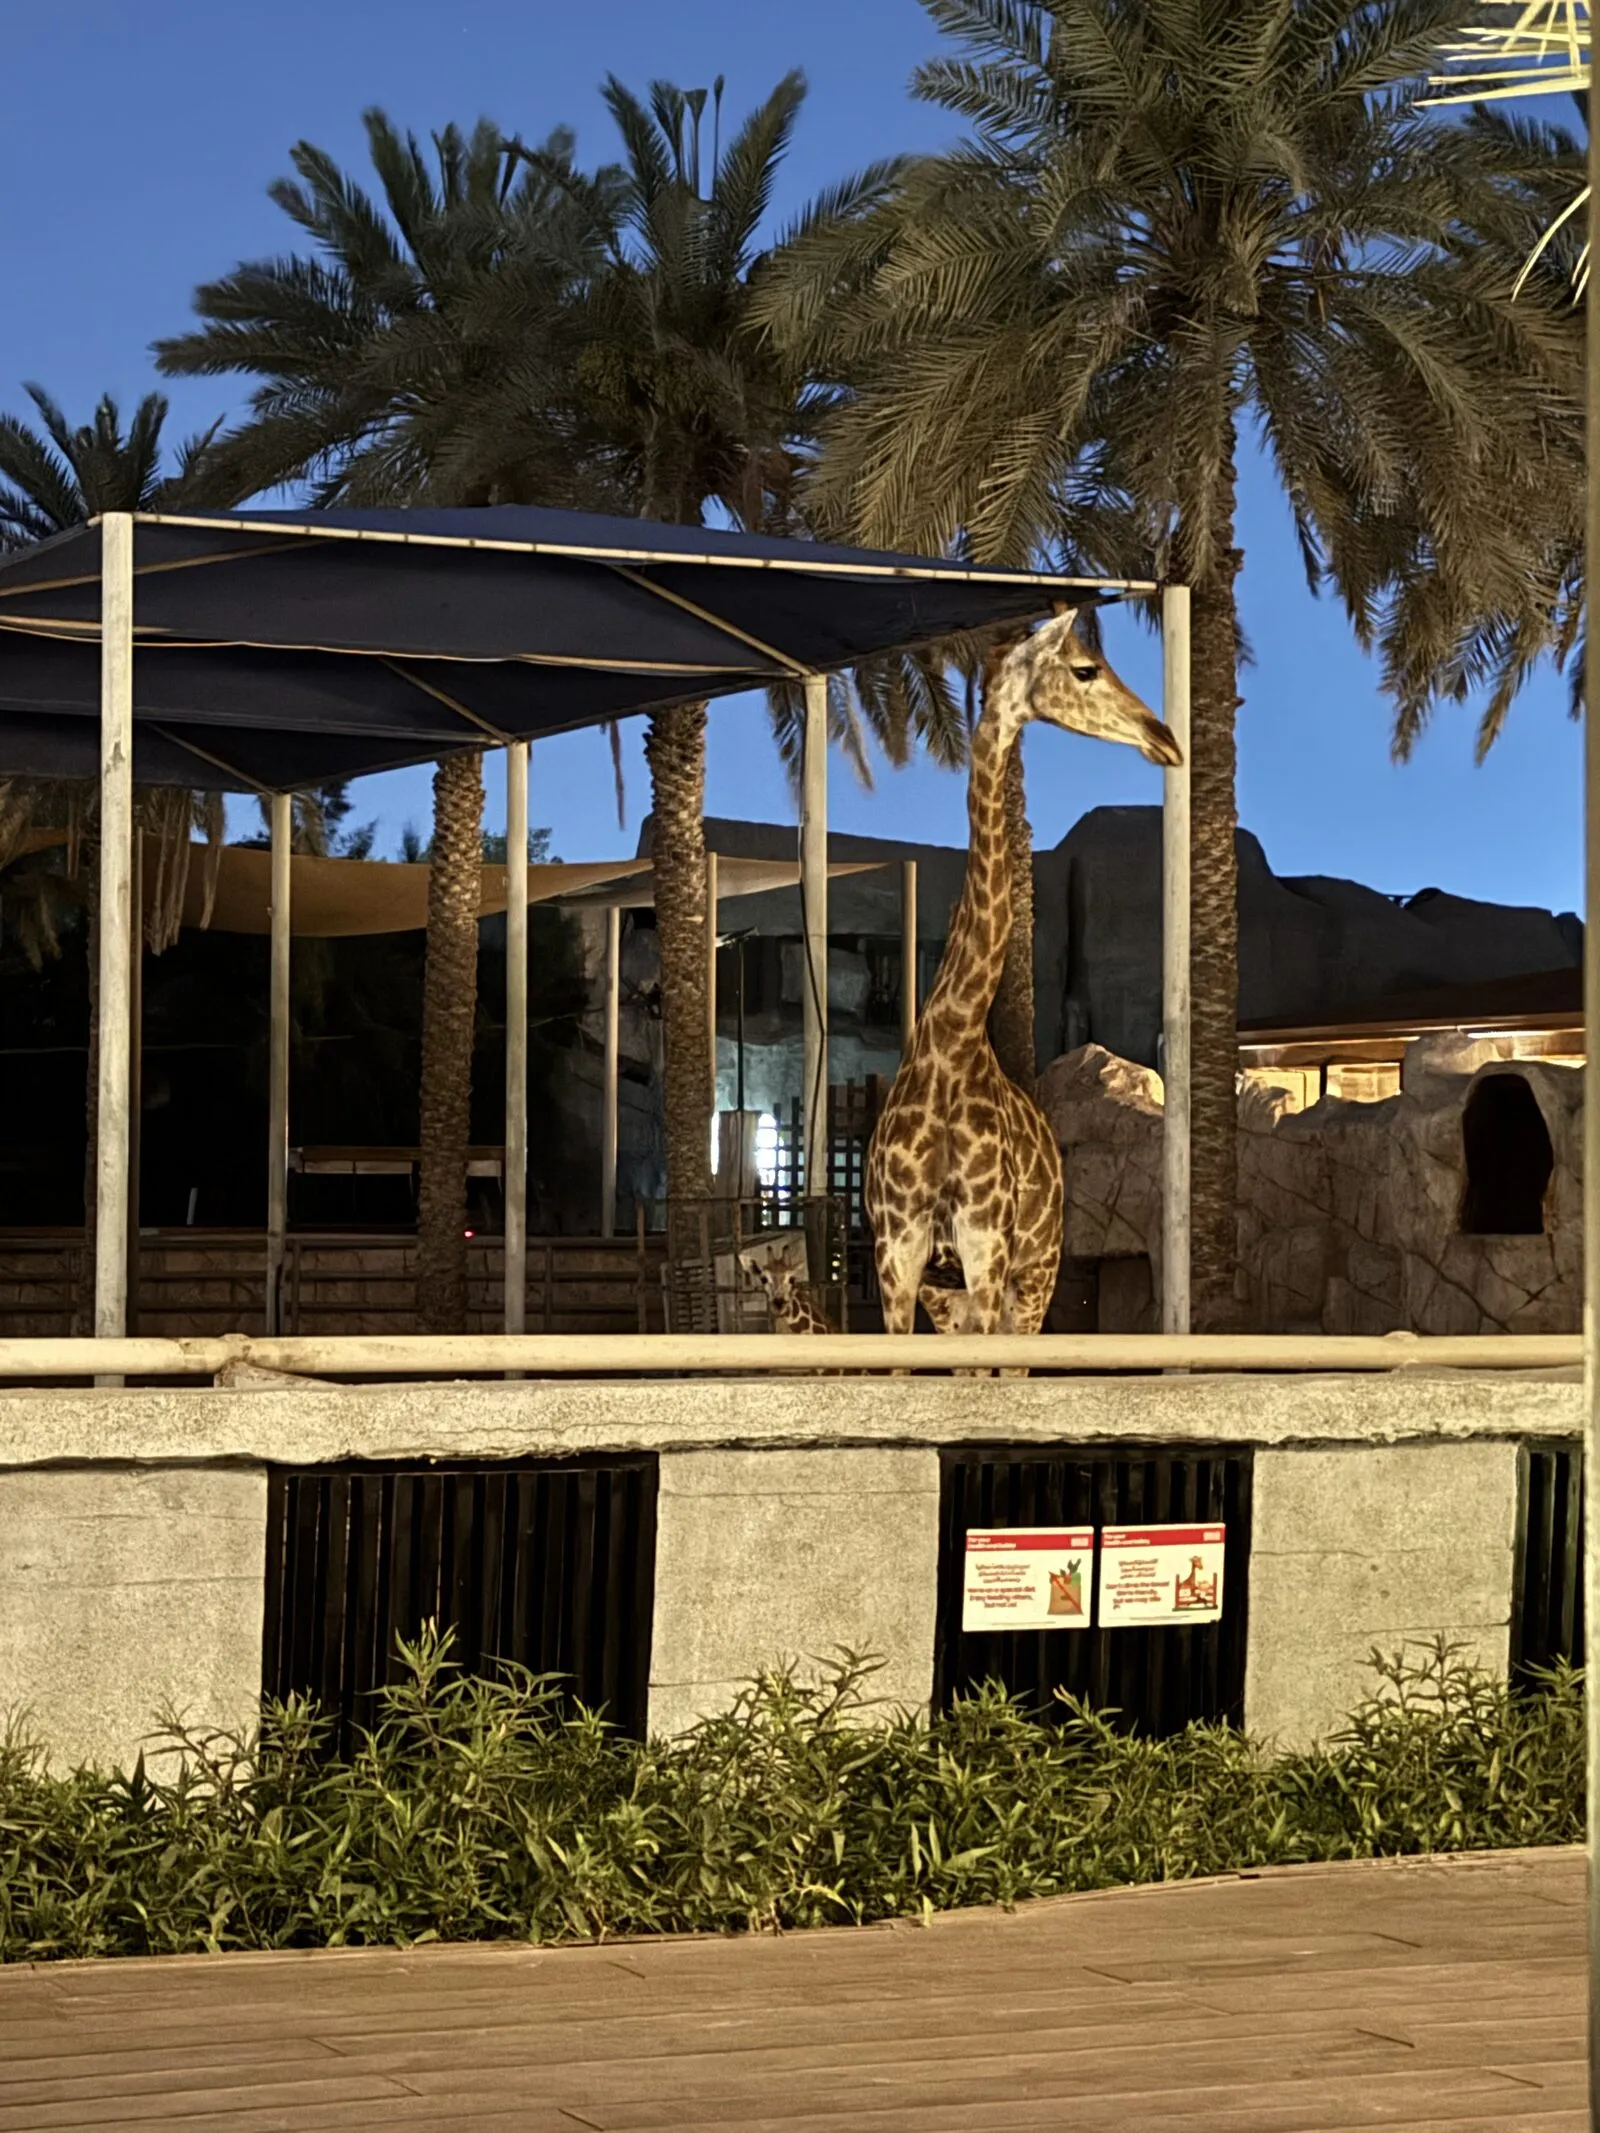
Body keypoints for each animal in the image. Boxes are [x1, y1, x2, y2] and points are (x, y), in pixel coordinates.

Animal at [865, 609, 1181, 1349]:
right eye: (1085, 668)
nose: (1166, 738)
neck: (949, 1044)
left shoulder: (986, 1251)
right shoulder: (898, 1256)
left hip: (1033, 1275)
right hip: (949, 1296)